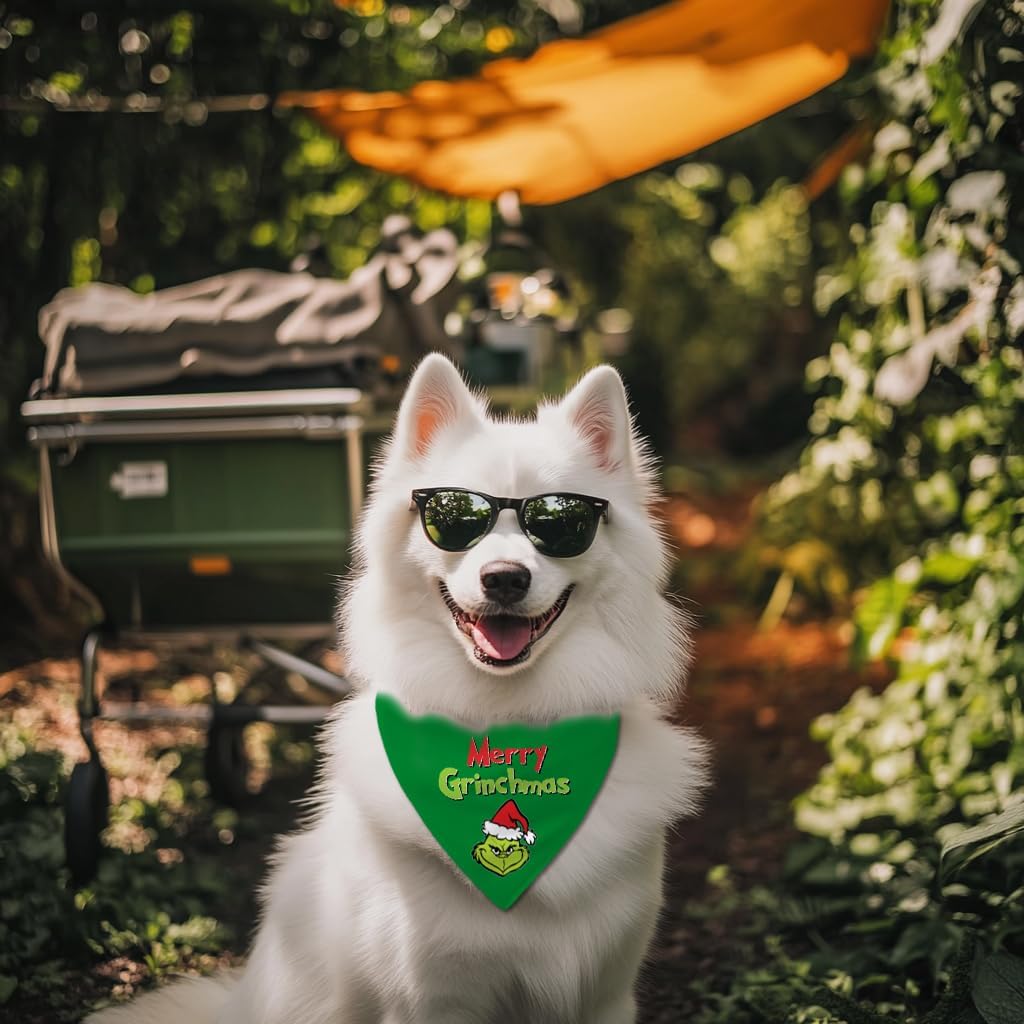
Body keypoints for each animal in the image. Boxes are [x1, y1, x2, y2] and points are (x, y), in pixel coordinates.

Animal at [88, 354, 708, 1024]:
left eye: (562, 523)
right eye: (456, 521)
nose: (505, 579)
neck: (506, 724)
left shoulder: (603, 993)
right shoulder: (432, 997)